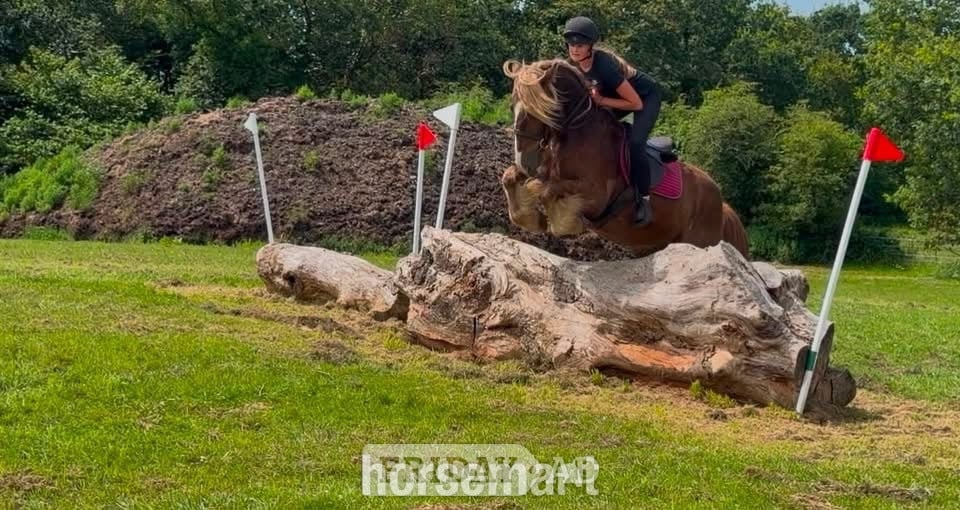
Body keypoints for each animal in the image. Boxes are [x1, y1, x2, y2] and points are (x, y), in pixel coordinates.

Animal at [500, 58, 749, 258]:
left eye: (540, 110)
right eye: (512, 106)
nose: (524, 159)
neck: (578, 132)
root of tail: (722, 205)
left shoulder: (596, 196)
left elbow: (543, 189)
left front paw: (559, 222)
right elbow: (510, 177)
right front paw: (530, 217)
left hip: (700, 242)